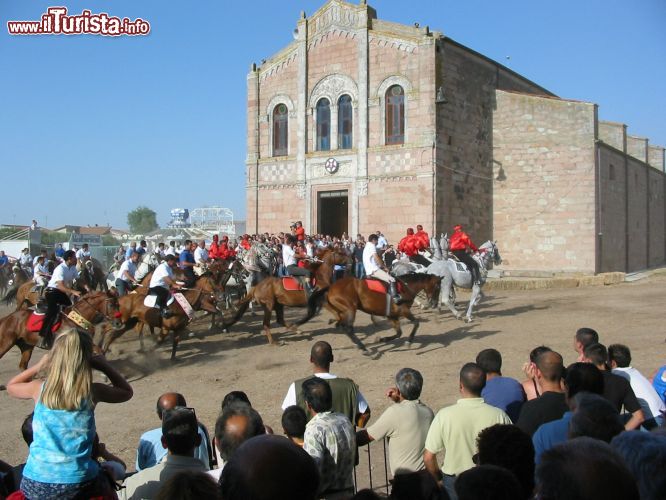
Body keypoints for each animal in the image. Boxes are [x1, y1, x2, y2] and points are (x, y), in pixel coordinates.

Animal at [220, 248, 350, 346]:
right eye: (340, 253)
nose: (351, 260)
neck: (319, 277)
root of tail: (257, 286)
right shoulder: (322, 300)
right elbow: (333, 314)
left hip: (278, 305)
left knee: (280, 320)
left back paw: (296, 330)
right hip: (269, 305)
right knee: (266, 324)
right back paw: (275, 342)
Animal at [296, 274, 440, 352]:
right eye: (438, 287)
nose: (434, 303)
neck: (405, 287)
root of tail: (331, 287)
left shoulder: (392, 316)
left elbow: (398, 333)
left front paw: (382, 339)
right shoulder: (403, 311)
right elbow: (416, 323)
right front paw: (409, 342)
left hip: (343, 311)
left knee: (341, 325)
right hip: (350, 309)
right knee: (348, 328)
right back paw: (364, 349)